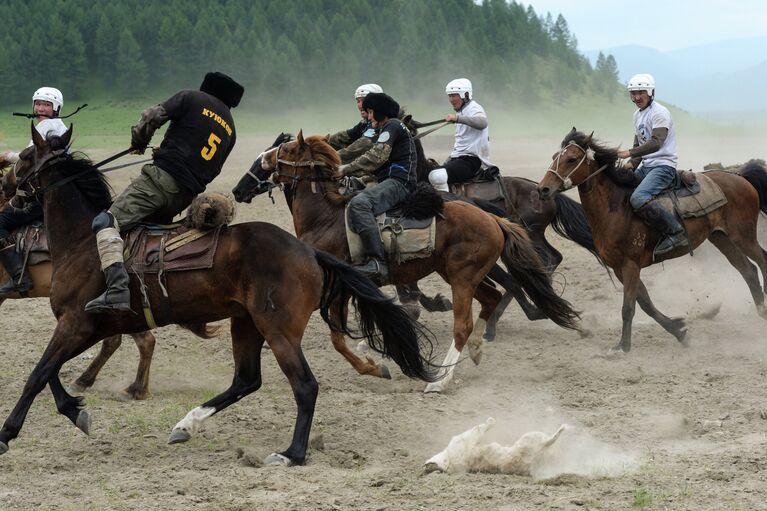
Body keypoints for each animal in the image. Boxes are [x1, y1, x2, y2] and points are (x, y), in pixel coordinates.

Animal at [231, 131, 580, 392]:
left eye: (287, 148)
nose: (239, 188)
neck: (326, 218)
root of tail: (494, 219)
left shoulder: (340, 287)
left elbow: (339, 338)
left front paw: (375, 366)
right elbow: (348, 333)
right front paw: (375, 360)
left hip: (463, 279)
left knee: (464, 323)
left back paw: (441, 379)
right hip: (462, 275)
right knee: (494, 296)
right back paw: (479, 347)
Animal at [536, 128, 767, 354]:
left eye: (572, 159)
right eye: (555, 157)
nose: (543, 189)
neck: (617, 207)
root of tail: (740, 176)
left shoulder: (630, 264)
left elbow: (628, 307)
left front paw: (623, 346)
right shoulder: (620, 268)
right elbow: (646, 303)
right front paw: (679, 331)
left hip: (743, 237)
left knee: (762, 260)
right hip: (721, 238)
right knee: (748, 270)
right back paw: (761, 311)